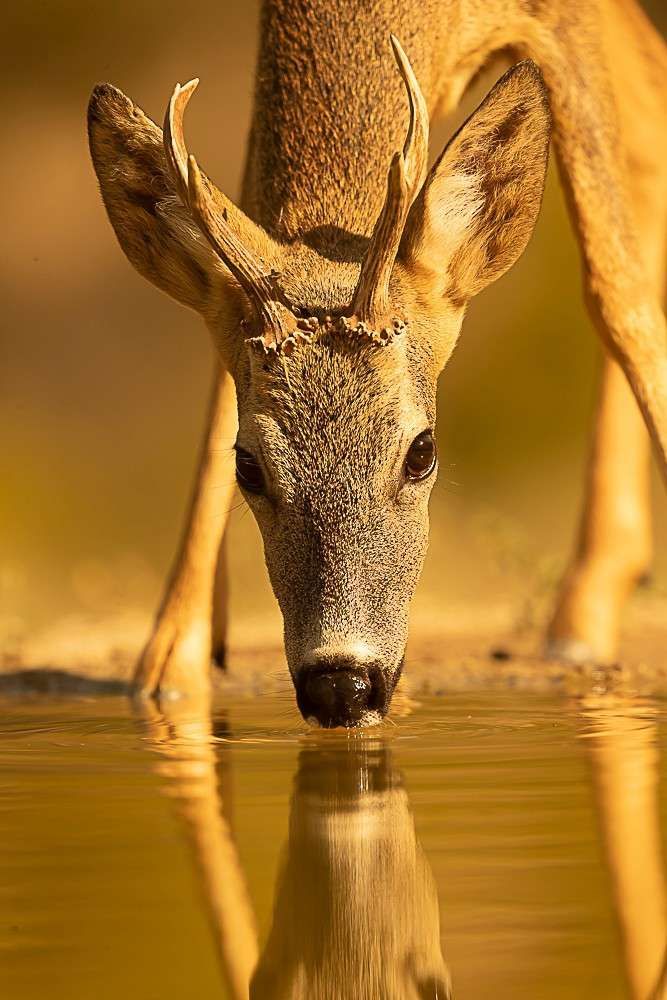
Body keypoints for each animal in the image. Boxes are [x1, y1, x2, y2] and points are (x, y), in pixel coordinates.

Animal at [88, 0, 667, 728]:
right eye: (246, 465)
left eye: (422, 452)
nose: (340, 684)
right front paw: (172, 659)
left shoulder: (566, 20)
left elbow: (616, 290)